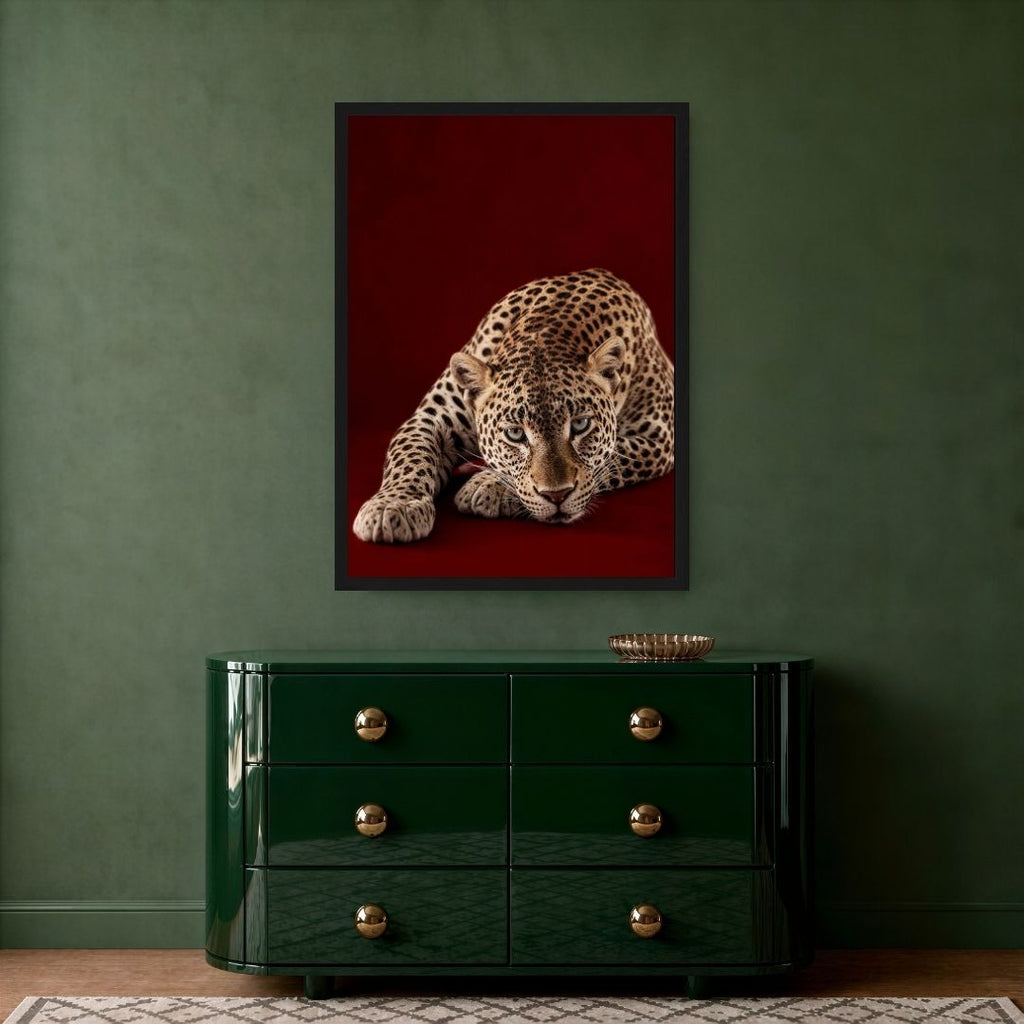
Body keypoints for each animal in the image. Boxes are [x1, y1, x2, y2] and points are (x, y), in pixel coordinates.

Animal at [352, 268, 674, 544]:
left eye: (581, 425)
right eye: (515, 434)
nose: (557, 496)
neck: (548, 333)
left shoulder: (659, 437)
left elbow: (612, 457)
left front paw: (487, 485)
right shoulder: (431, 420)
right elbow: (409, 456)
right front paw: (393, 508)